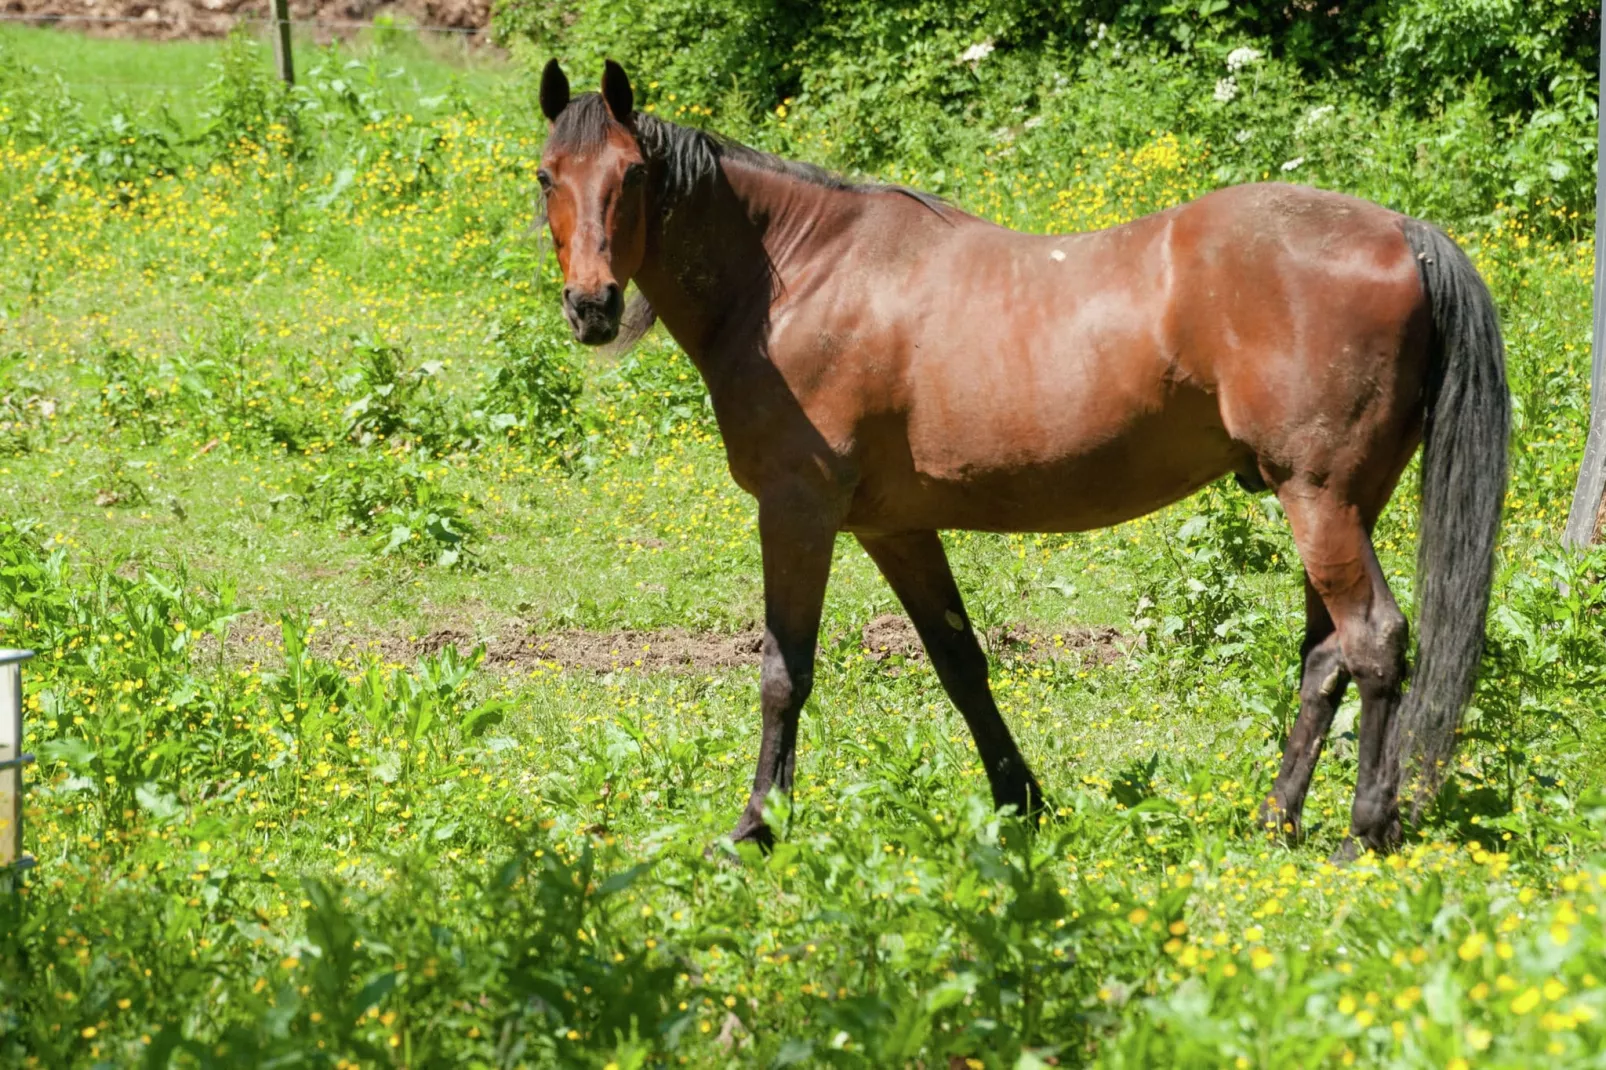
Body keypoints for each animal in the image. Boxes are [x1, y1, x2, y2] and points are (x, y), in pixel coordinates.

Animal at [536, 58, 1503, 861]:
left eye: (631, 175)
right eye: (546, 175)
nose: (591, 306)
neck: (797, 277)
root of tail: (1401, 231)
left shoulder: (796, 509)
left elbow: (784, 672)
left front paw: (753, 830)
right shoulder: (895, 528)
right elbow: (960, 663)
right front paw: (1022, 803)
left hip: (1320, 499)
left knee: (1372, 643)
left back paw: (1362, 833)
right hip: (1341, 502)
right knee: (1325, 657)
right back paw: (1277, 821)